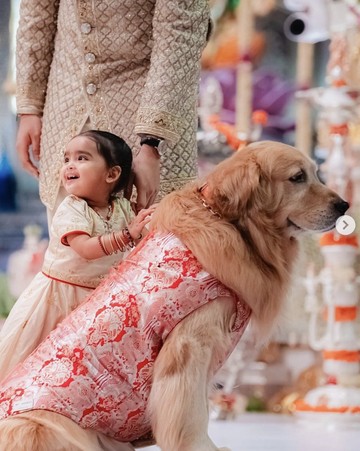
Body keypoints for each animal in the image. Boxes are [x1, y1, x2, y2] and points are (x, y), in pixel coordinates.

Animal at [0, 141, 348, 451]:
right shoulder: (190, 345)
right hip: (40, 427)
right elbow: (190, 414)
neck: (229, 222)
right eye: (297, 177)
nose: (344, 205)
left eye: (316, 173)